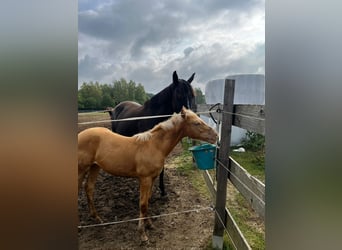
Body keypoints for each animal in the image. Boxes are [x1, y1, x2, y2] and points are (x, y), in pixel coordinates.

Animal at [79, 107, 216, 242]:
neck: (154, 146)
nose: (216, 135)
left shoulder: (152, 178)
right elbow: (143, 204)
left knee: (89, 188)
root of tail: (80, 135)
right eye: (196, 123)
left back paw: (97, 218)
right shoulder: (145, 179)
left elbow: (147, 202)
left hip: (95, 167)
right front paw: (142, 233)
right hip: (81, 169)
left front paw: (149, 224)